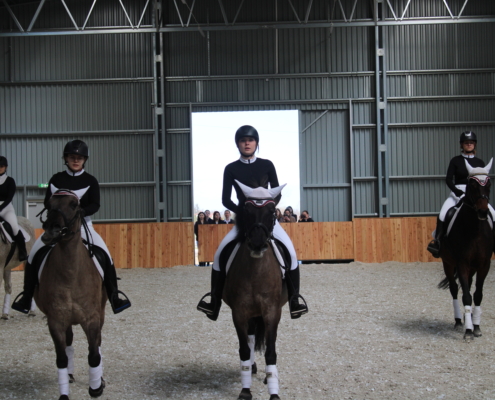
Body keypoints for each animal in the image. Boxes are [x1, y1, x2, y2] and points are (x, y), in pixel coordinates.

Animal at [35, 189, 106, 400]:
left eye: (74, 204)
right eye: (49, 204)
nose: (52, 230)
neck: (71, 274)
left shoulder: (92, 318)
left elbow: (94, 354)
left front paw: (95, 388)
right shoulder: (56, 321)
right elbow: (61, 358)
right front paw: (64, 392)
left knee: (98, 343)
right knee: (68, 343)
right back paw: (70, 375)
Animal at [222, 181, 288, 400]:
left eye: (272, 212)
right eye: (247, 210)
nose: (258, 243)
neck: (256, 272)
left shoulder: (272, 311)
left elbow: (271, 351)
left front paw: (274, 392)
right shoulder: (239, 312)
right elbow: (244, 349)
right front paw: (245, 390)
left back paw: (268, 377)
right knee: (251, 339)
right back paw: (251, 368)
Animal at [438, 158, 493, 340]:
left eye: (489, 183)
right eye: (473, 185)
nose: (482, 211)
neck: (474, 230)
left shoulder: (484, 264)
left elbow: (477, 294)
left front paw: (476, 327)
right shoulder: (461, 263)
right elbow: (467, 296)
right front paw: (468, 331)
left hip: (472, 267)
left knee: (467, 284)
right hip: (448, 263)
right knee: (455, 289)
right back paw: (458, 321)